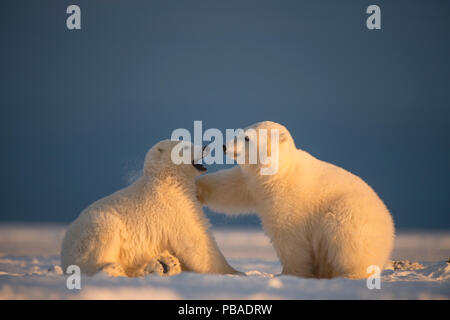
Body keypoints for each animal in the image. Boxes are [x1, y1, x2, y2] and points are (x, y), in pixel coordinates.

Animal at [60, 140, 239, 278]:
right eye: (186, 146)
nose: (205, 146)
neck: (166, 181)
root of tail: (63, 255)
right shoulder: (173, 208)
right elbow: (197, 241)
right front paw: (235, 272)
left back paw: (162, 264)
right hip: (96, 228)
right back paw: (114, 269)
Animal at [197, 121, 394, 278]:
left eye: (247, 138)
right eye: (240, 132)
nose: (224, 146)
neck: (280, 172)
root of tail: (390, 229)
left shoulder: (289, 197)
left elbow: (288, 235)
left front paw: (290, 273)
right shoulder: (252, 183)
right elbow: (230, 187)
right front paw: (198, 189)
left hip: (352, 213)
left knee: (346, 238)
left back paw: (350, 274)